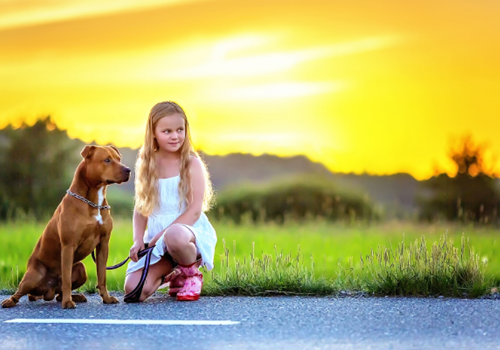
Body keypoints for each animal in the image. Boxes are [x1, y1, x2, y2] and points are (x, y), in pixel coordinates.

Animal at [0, 145, 132, 308]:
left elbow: (102, 276)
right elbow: (67, 279)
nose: (128, 170)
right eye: (107, 160)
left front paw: (106, 298)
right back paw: (10, 301)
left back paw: (76, 296)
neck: (93, 202)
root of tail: (48, 291)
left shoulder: (103, 244)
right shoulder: (69, 245)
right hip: (34, 275)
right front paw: (68, 302)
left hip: (81, 268)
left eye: (118, 159)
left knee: (59, 293)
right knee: (21, 292)